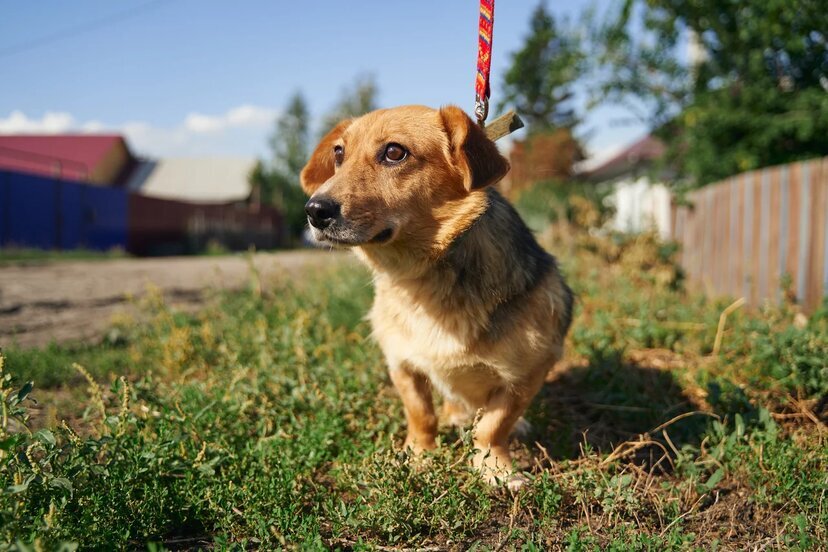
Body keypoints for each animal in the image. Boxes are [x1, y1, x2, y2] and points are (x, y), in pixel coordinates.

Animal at [300, 103, 572, 488]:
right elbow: (421, 415)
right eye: (339, 154)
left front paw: (496, 469)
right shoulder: (402, 363)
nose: (315, 210)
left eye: (394, 152)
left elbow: (493, 426)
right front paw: (419, 456)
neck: (420, 278)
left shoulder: (528, 373)